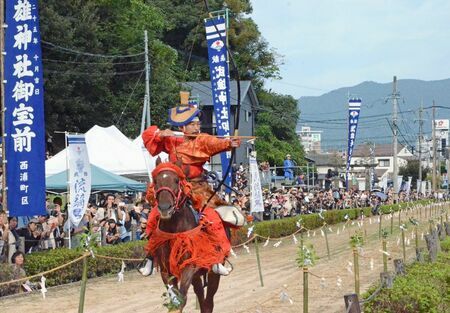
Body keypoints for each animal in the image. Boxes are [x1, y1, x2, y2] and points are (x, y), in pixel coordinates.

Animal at [149, 161, 222, 312]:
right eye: (155, 181)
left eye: (177, 180)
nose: (165, 208)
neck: (174, 232)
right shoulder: (166, 271)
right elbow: (175, 299)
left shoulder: (189, 266)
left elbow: (181, 299)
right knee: (200, 295)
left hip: (214, 272)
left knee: (209, 301)